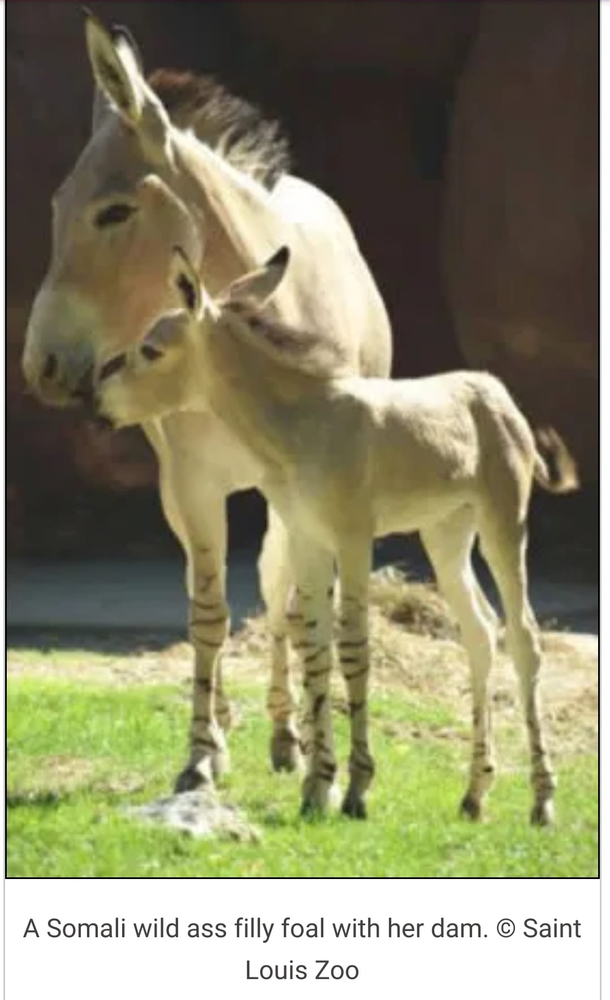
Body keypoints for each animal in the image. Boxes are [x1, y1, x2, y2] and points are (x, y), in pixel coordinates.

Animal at [97, 246, 576, 824]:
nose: (97, 403)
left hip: (503, 523)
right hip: (446, 533)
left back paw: (542, 800)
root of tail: (496, 392)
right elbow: (316, 645)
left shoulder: (353, 538)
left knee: (525, 637)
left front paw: (356, 788)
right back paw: (475, 793)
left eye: (151, 349)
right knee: (480, 630)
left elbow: (352, 646)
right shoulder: (307, 536)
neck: (303, 423)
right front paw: (317, 784)